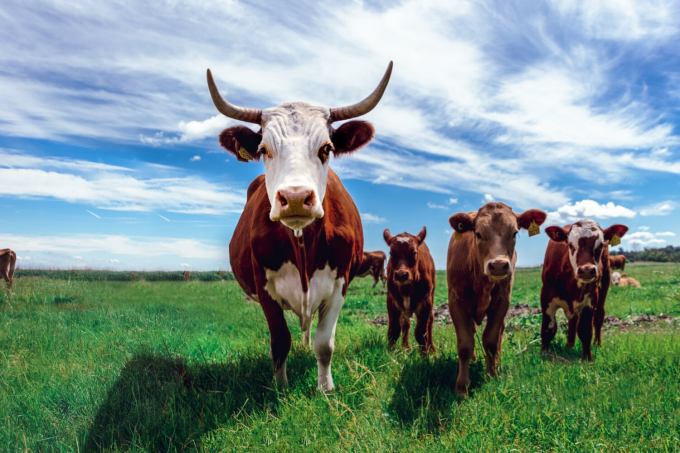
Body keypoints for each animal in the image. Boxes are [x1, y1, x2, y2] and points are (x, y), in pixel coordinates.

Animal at [208, 62, 393, 390]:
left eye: (327, 148)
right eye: (264, 149)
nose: (295, 198)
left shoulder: (340, 283)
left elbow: (324, 344)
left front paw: (325, 388)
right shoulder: (264, 286)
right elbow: (280, 341)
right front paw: (280, 388)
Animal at [447, 202, 547, 395]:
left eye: (514, 232)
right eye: (478, 233)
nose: (499, 265)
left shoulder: (502, 302)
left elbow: (491, 340)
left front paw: (491, 376)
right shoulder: (455, 302)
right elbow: (465, 344)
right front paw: (462, 386)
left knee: (500, 333)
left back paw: (498, 363)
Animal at [541, 220, 628, 361]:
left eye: (600, 245)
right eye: (570, 245)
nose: (587, 270)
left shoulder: (590, 299)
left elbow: (585, 330)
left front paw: (587, 358)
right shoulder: (546, 296)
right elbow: (549, 328)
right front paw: (544, 354)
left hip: (604, 283)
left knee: (598, 315)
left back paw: (597, 343)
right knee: (572, 320)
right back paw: (569, 345)